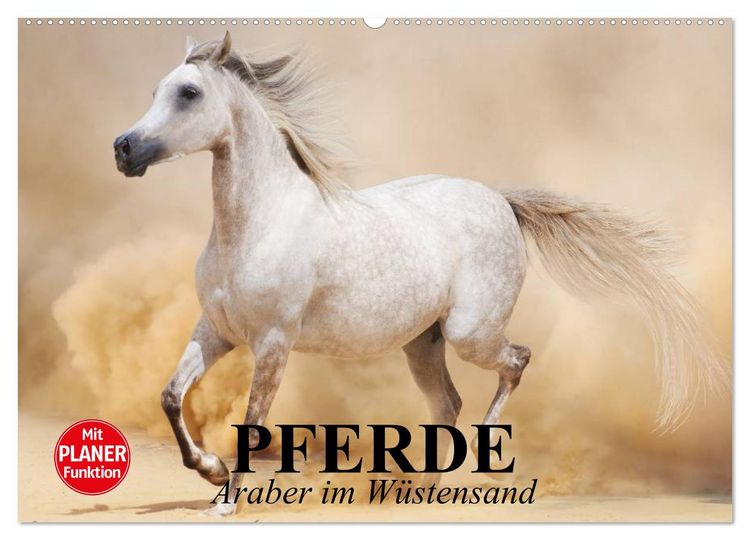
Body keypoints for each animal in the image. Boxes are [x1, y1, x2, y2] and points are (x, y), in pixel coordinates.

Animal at [114, 33, 727, 516]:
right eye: (155, 91)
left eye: (189, 93)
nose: (124, 149)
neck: (259, 223)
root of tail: (501, 201)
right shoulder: (216, 332)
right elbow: (171, 397)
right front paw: (211, 471)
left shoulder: (272, 342)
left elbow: (254, 418)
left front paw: (227, 500)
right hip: (422, 343)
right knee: (448, 402)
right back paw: (425, 488)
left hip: (469, 333)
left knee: (516, 363)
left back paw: (477, 458)